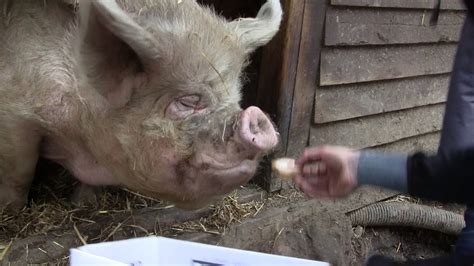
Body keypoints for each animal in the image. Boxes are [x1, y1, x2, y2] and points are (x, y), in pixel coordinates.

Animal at [0, 0, 282, 211]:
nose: (257, 117)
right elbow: (19, 173)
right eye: (187, 102)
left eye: (236, 98)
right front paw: (12, 210)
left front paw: (84, 202)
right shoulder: (14, 118)